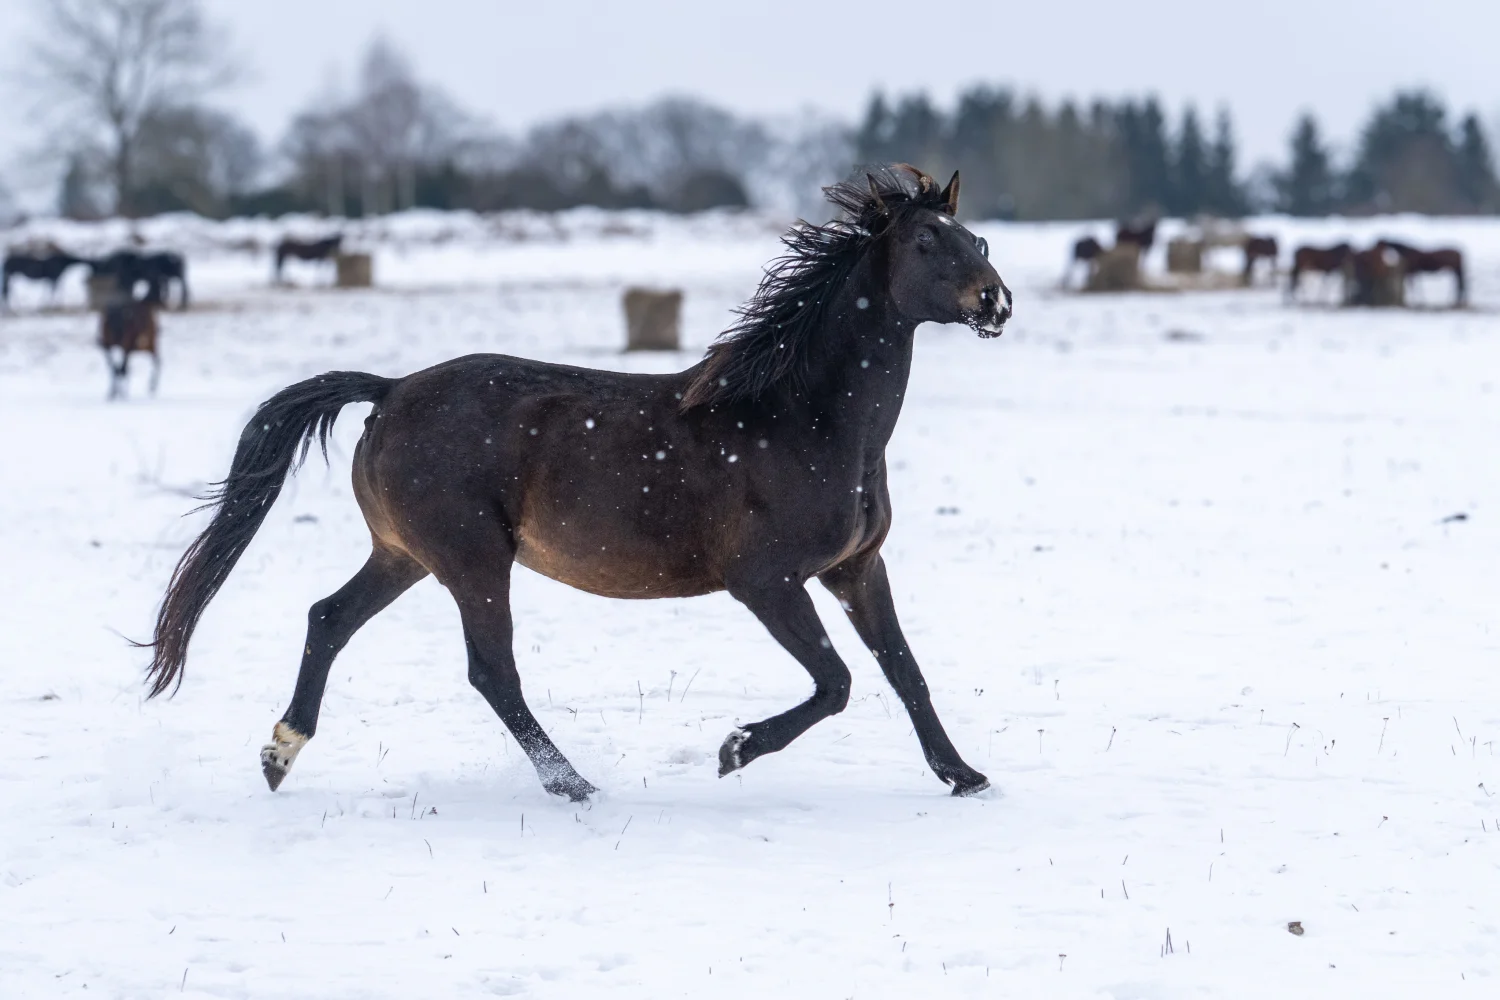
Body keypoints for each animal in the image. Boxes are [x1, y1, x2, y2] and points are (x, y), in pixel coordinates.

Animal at [140, 164, 1011, 802]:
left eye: (976, 236)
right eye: (927, 243)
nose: (996, 301)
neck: (805, 420)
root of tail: (390, 391)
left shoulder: (857, 568)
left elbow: (904, 671)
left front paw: (964, 777)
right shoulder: (766, 581)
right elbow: (836, 681)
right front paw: (734, 749)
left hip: (407, 555)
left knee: (328, 618)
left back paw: (279, 755)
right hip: (472, 560)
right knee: (491, 671)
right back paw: (573, 784)